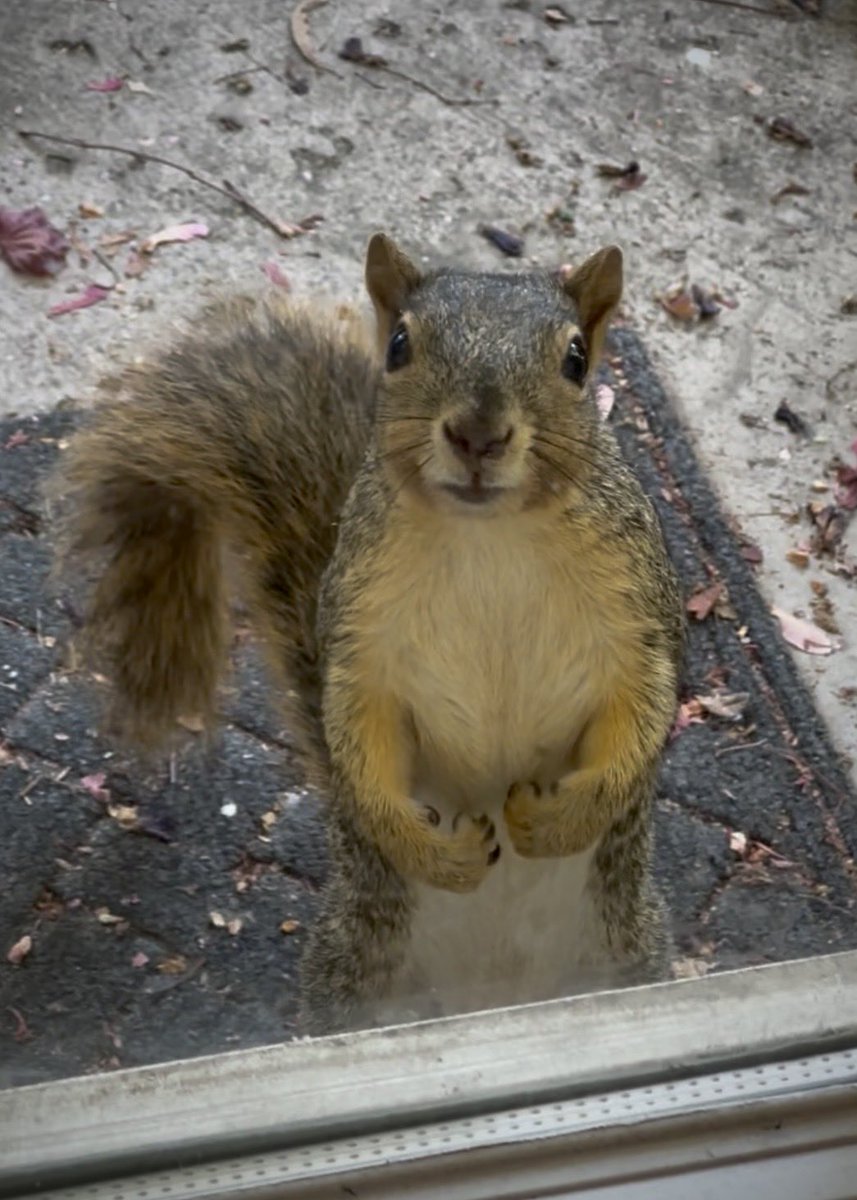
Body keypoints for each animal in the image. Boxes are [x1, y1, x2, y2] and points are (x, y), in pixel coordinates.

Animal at [56, 233, 684, 1033]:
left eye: (576, 359)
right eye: (399, 344)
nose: (477, 434)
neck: (490, 540)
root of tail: (493, 1000)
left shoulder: (638, 615)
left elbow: (640, 720)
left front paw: (555, 822)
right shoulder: (360, 637)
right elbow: (358, 740)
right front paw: (433, 852)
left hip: (626, 951)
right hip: (355, 974)